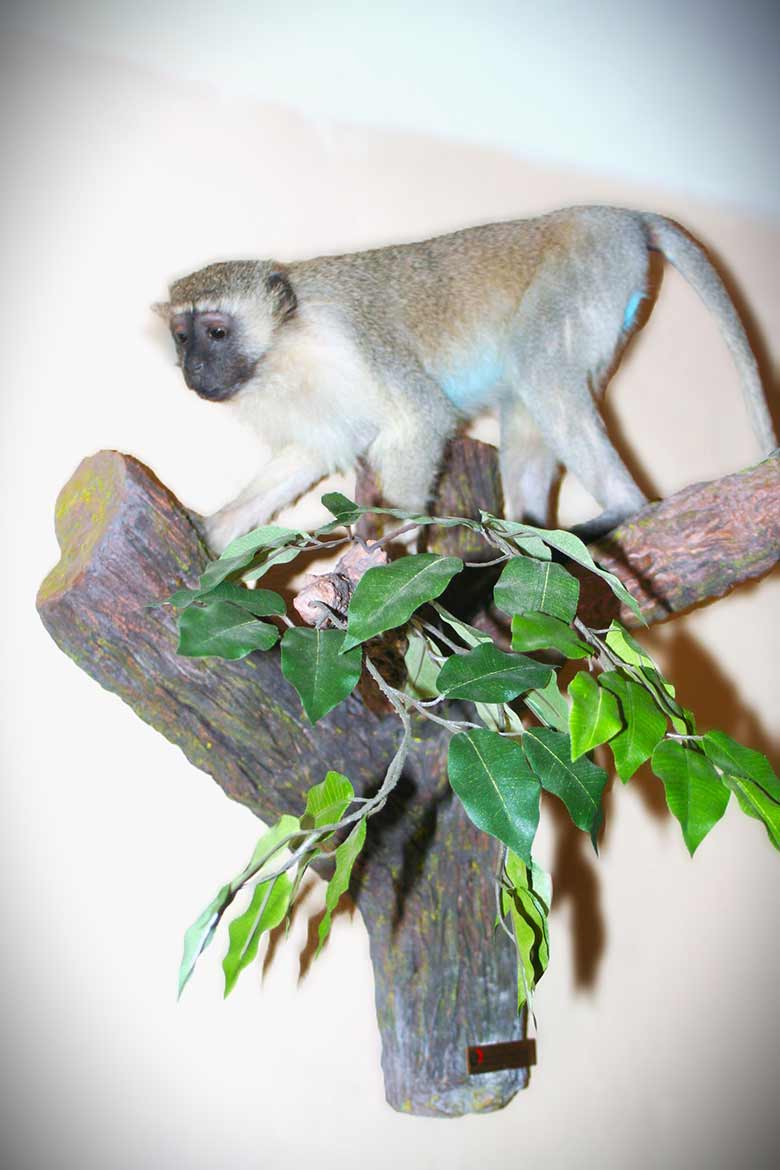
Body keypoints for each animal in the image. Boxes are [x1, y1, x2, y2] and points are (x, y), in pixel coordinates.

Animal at [155, 204, 776, 552]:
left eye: (215, 333)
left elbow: (420, 420)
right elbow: (312, 453)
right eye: (182, 337)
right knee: (526, 396)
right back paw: (525, 529)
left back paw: (624, 507)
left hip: (587, 265)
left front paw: (390, 544)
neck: (284, 345)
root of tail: (621, 215)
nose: (193, 371)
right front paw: (215, 531)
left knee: (537, 367)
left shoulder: (351, 340)